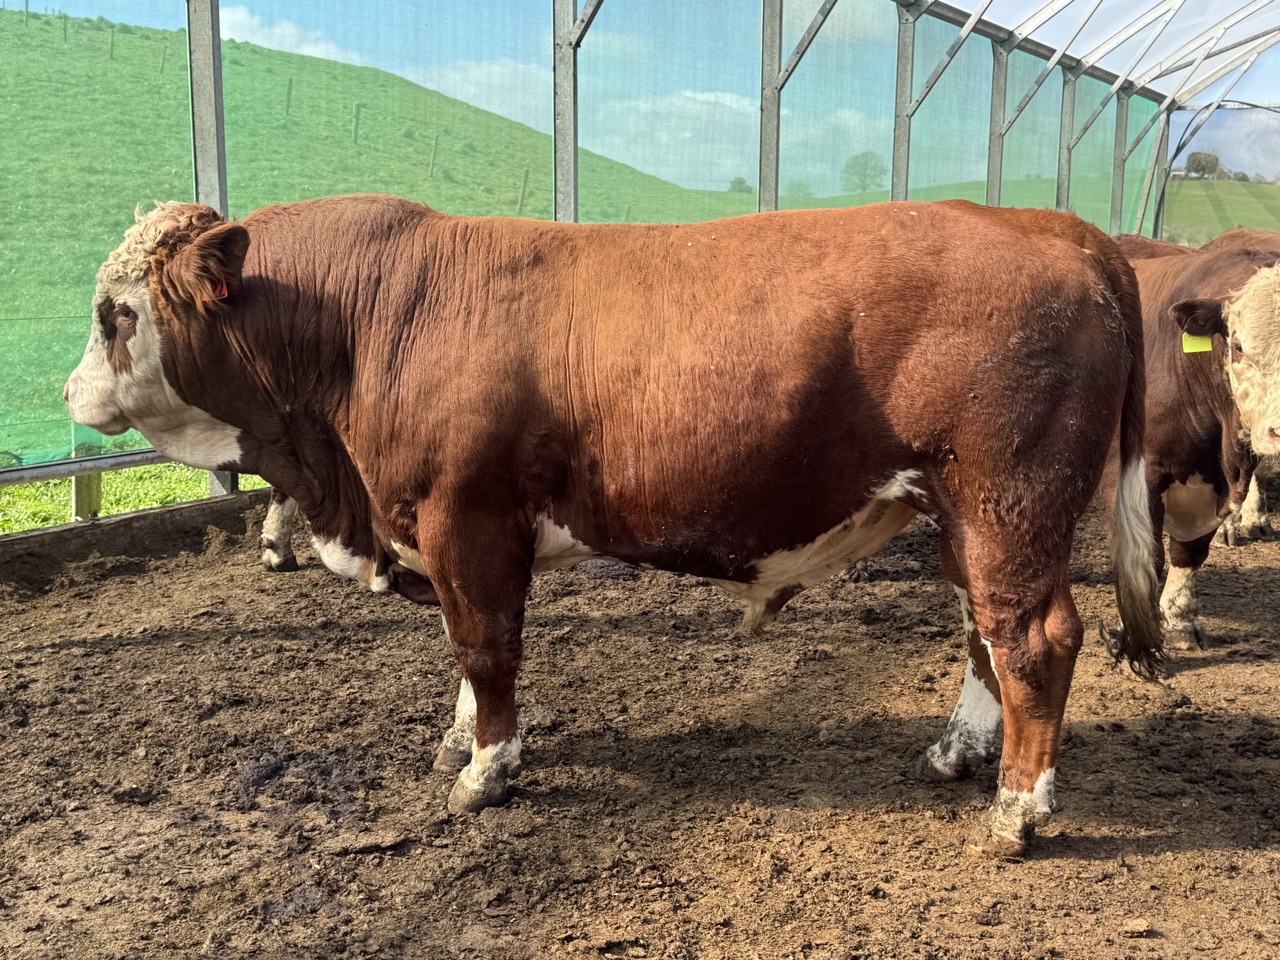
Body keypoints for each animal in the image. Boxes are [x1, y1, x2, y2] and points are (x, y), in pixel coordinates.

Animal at [65, 195, 1163, 858]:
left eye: (115, 312)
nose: (69, 394)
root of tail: (1057, 226)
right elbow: (466, 651)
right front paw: (458, 741)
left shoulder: (465, 517)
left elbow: (486, 647)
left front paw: (486, 771)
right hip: (964, 519)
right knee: (983, 630)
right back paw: (958, 752)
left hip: (1009, 502)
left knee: (1033, 638)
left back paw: (1017, 809)